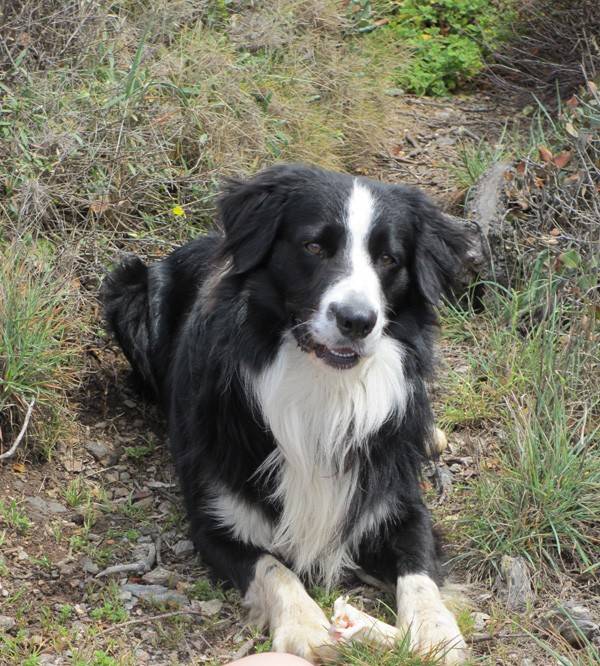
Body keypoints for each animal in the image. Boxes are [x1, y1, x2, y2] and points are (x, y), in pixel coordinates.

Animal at [102, 163, 468, 660]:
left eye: (389, 260)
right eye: (314, 246)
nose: (357, 321)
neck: (322, 387)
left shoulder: (398, 502)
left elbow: (419, 569)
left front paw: (435, 632)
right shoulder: (215, 519)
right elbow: (274, 568)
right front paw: (307, 626)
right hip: (131, 290)